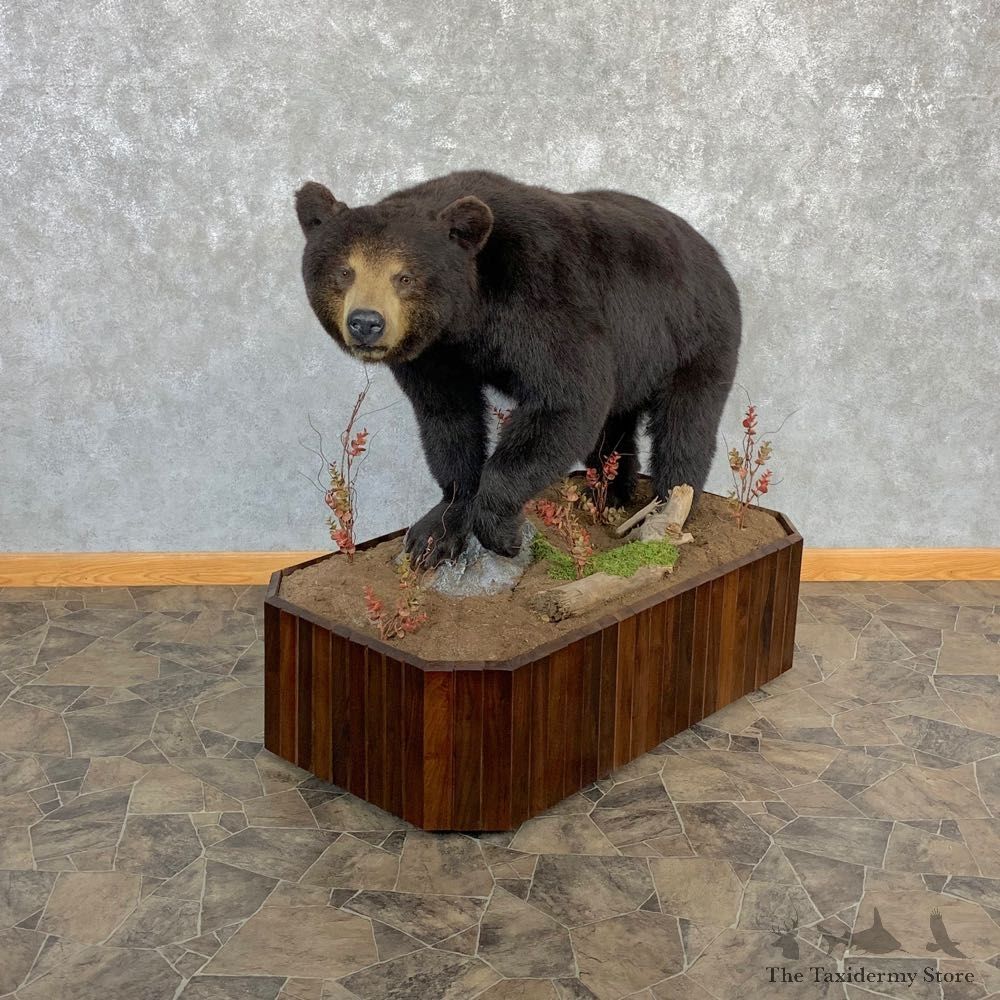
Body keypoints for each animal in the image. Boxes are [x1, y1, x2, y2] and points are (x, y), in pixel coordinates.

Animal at [295, 170, 740, 567]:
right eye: (344, 271)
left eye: (404, 277)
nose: (366, 323)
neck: (468, 314)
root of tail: (713, 255)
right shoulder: (436, 356)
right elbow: (448, 421)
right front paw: (435, 532)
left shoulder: (540, 295)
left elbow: (568, 398)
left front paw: (500, 533)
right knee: (614, 425)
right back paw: (608, 494)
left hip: (692, 336)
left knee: (686, 424)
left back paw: (669, 505)